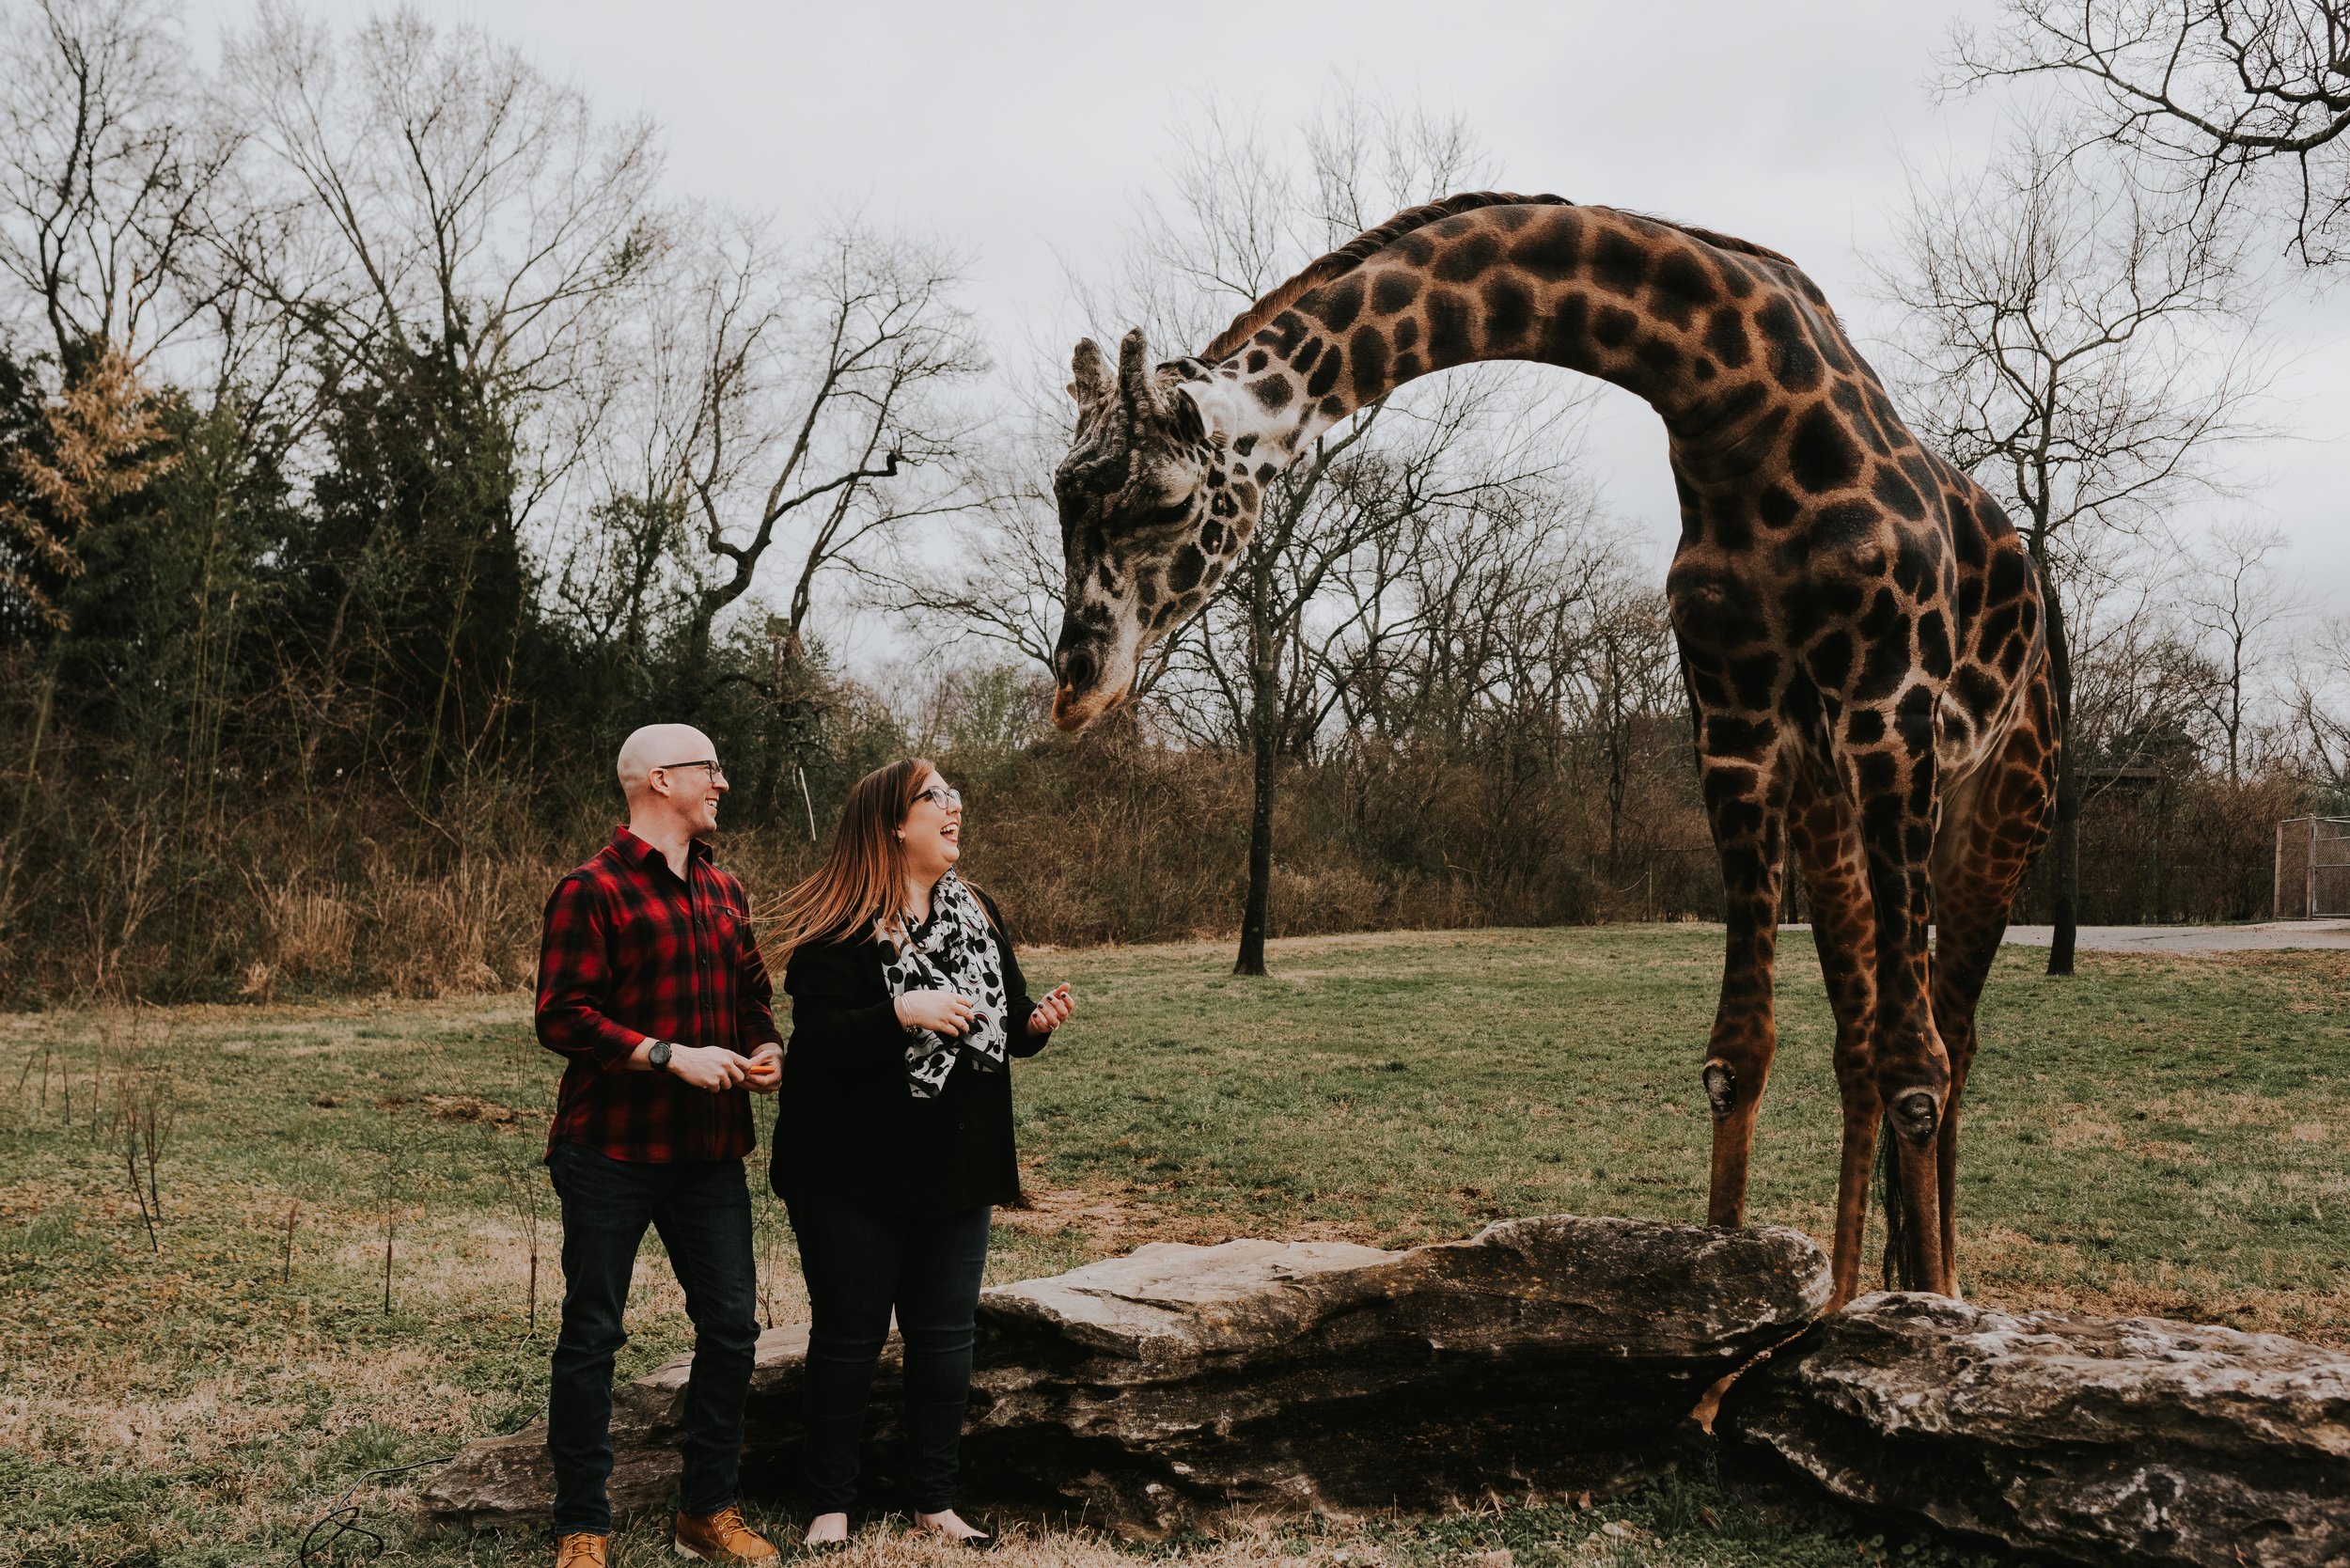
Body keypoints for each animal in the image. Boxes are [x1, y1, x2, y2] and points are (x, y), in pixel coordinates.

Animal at [1048, 190, 2059, 1307]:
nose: (1076, 685)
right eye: (1059, 492)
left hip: (2001, 796)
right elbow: (1737, 1055)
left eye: (1165, 501)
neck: (1734, 407)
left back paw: (1934, 1285)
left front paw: (1925, 1321)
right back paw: (1842, 1296)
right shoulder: (1734, 729)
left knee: (1951, 1045)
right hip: (1828, 800)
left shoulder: (1891, 710)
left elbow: (1918, 1070)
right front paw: (1739, 1316)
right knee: (1858, 1041)